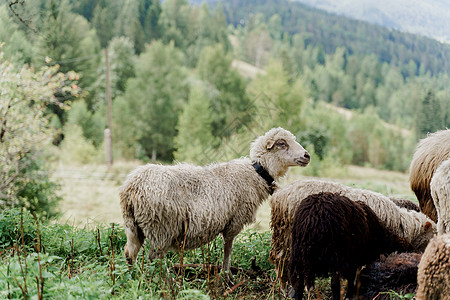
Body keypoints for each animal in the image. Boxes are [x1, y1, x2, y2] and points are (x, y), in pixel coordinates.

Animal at [118, 126, 310, 270]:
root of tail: (131, 186)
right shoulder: (235, 220)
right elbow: (228, 248)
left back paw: (134, 279)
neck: (256, 173)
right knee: (155, 258)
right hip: (161, 227)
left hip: (134, 226)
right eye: (281, 143)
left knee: (129, 253)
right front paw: (226, 274)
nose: (307, 155)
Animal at [268, 179, 438, 290]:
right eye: (432, 237)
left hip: (284, 237)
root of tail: (279, 194)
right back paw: (285, 288)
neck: (401, 223)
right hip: (290, 238)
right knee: (282, 262)